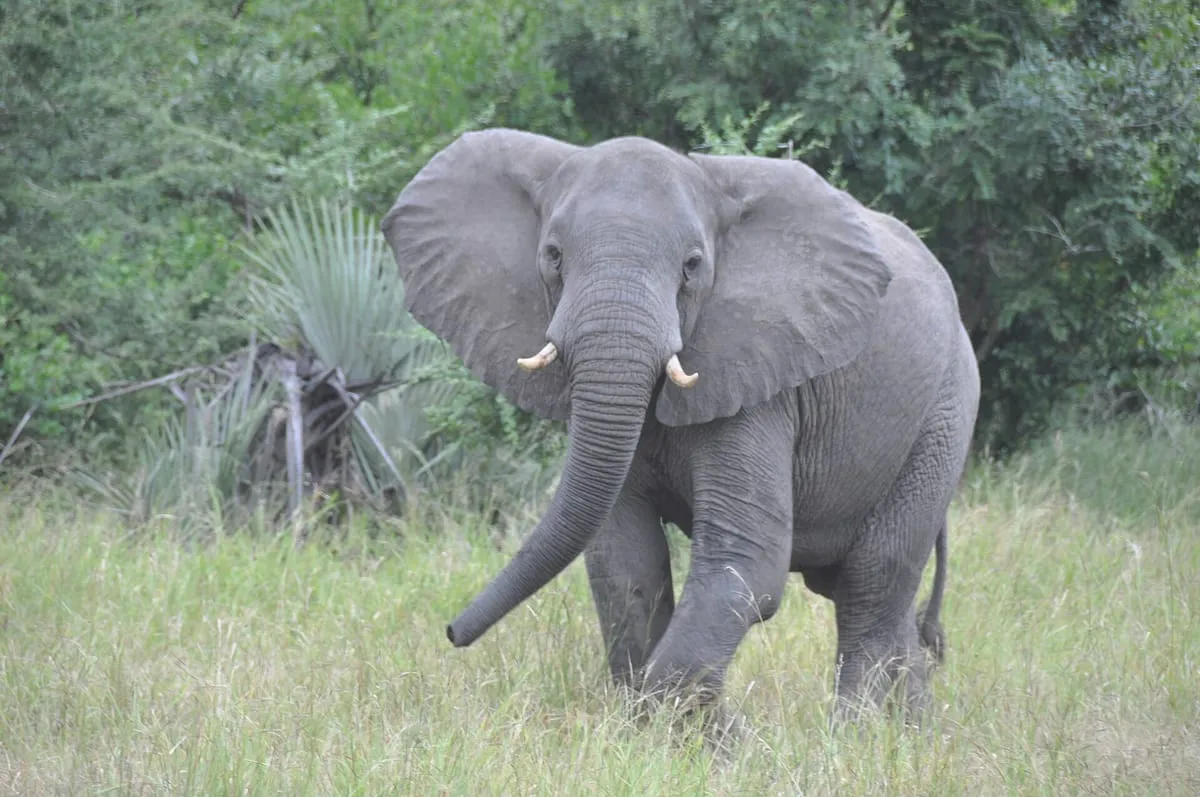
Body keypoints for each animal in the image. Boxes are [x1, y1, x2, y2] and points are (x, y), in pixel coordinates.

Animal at [381, 128, 981, 723]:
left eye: (692, 266)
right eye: (552, 256)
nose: (451, 631)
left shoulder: (758, 377)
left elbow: (745, 563)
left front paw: (699, 733)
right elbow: (625, 563)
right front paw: (664, 730)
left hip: (944, 414)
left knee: (872, 583)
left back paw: (852, 736)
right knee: (867, 593)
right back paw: (911, 735)